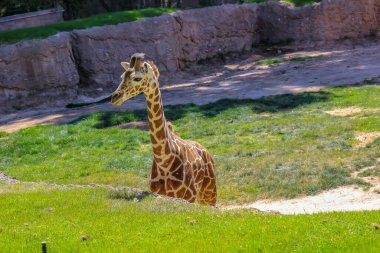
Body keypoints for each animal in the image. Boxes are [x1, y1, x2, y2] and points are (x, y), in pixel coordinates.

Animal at [110, 53, 217, 206]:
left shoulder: (187, 198)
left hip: (209, 193)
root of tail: (205, 150)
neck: (164, 161)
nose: (115, 97)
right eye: (122, 76)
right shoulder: (158, 194)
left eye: (137, 78)